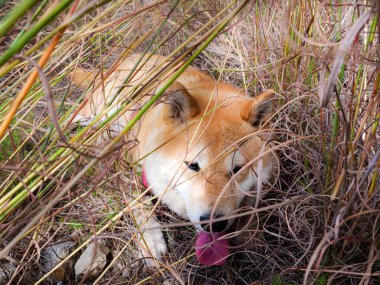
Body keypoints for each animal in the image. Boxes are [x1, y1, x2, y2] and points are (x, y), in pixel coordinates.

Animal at [70, 52, 276, 266]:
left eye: (237, 170)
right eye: (193, 166)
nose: (214, 225)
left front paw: (251, 233)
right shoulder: (124, 163)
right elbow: (137, 202)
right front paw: (150, 239)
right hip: (98, 114)